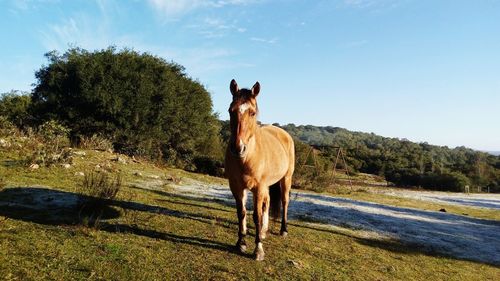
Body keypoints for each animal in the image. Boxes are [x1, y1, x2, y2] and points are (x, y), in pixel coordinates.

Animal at [225, 79, 294, 260]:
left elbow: (256, 216)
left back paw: (283, 230)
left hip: (286, 179)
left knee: (284, 201)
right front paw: (241, 243)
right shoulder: (237, 187)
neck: (247, 158)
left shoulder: (258, 187)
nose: (238, 148)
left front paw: (258, 250)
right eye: (230, 110)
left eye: (252, 113)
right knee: (267, 202)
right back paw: (263, 231)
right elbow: (241, 213)